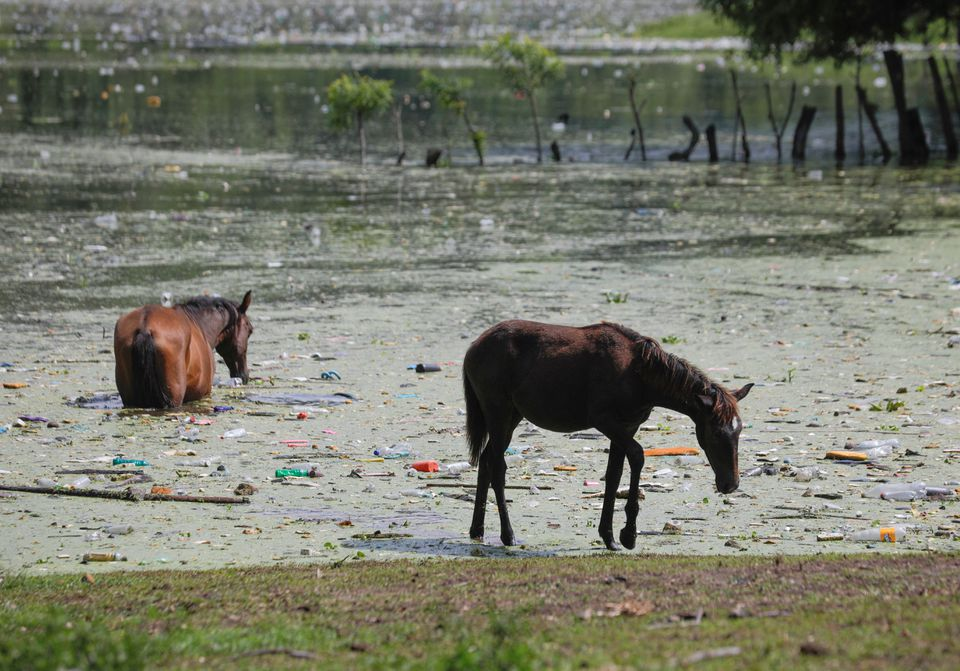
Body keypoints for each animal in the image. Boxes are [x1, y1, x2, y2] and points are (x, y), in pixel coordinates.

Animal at [462, 320, 752, 552]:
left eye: (739, 429)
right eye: (715, 432)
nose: (730, 484)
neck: (642, 379)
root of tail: (471, 350)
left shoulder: (627, 426)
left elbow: (614, 475)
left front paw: (609, 536)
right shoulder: (604, 420)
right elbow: (637, 456)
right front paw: (629, 534)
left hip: (512, 416)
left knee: (485, 460)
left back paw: (477, 529)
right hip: (498, 411)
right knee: (497, 466)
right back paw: (508, 534)